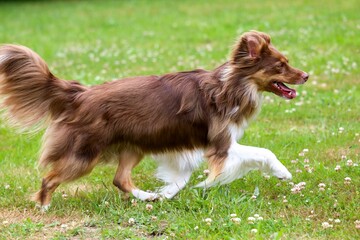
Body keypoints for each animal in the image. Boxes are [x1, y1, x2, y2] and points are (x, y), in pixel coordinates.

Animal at [0, 31, 310, 209]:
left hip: (132, 148)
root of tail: (79, 93)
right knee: (49, 178)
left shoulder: (184, 146)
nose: (307, 75)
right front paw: (283, 173)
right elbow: (263, 152)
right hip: (83, 154)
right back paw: (43, 207)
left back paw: (146, 197)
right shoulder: (221, 145)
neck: (232, 85)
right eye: (280, 65)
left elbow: (181, 179)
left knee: (120, 179)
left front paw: (166, 194)